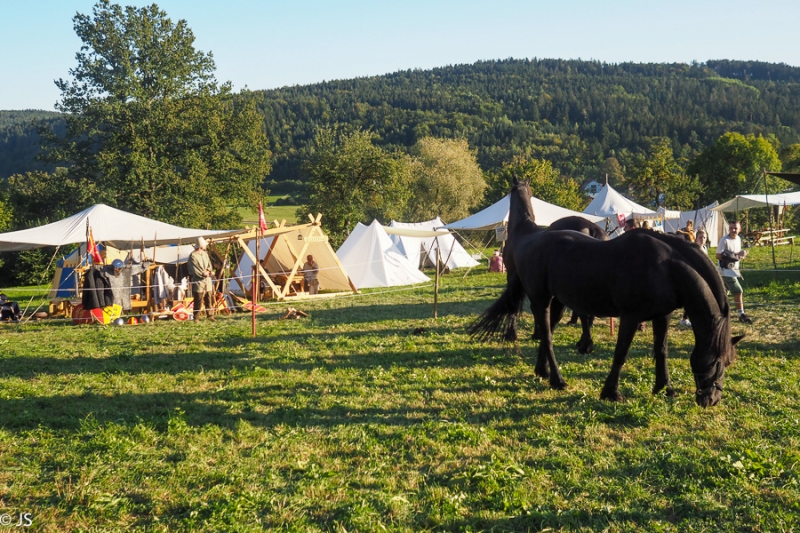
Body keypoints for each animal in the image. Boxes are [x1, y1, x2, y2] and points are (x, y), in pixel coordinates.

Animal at [468, 179, 744, 408]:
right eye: (716, 361)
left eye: (729, 362)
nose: (711, 399)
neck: (666, 268)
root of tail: (529, 242)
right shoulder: (630, 317)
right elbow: (621, 353)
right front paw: (611, 392)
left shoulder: (661, 316)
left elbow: (661, 350)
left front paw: (664, 388)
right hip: (540, 300)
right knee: (546, 335)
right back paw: (557, 379)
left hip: (557, 301)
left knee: (549, 333)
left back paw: (542, 371)